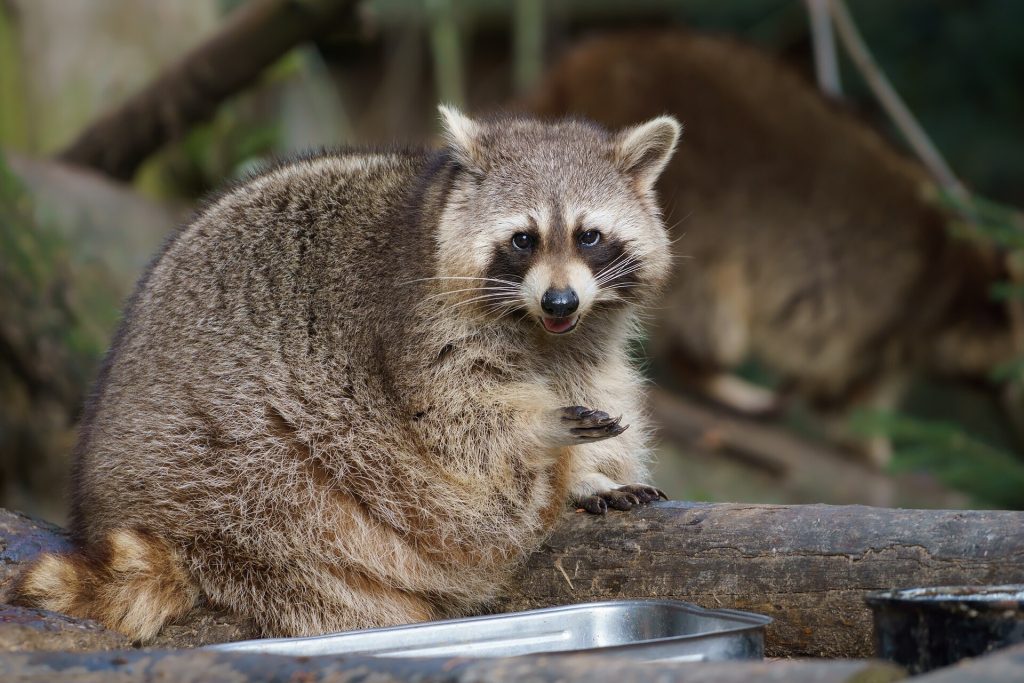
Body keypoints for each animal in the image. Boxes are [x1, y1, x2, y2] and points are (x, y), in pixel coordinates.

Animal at [13, 107, 678, 641]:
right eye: (523, 239)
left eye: (589, 236)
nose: (560, 300)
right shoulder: (418, 328)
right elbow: (454, 425)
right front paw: (544, 435)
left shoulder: (585, 340)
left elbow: (597, 385)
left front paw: (589, 473)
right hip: (248, 485)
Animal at [530, 31, 1016, 463]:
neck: (968, 279)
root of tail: (570, 78)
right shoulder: (895, 309)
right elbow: (846, 384)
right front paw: (864, 437)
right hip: (703, 214)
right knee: (710, 315)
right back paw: (715, 377)